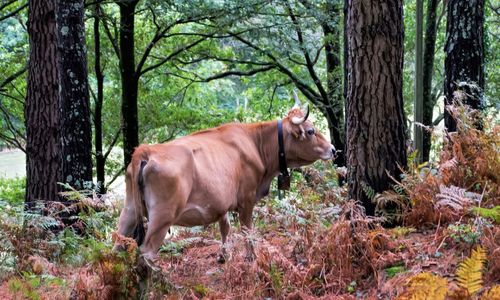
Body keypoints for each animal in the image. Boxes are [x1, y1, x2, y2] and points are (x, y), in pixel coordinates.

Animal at [115, 95, 336, 262]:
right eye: (310, 131)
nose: (333, 149)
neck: (256, 143)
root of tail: (146, 150)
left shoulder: (220, 202)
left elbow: (225, 227)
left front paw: (223, 256)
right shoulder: (247, 198)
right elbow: (247, 231)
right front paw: (252, 258)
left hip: (130, 210)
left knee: (118, 246)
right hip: (163, 215)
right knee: (147, 253)